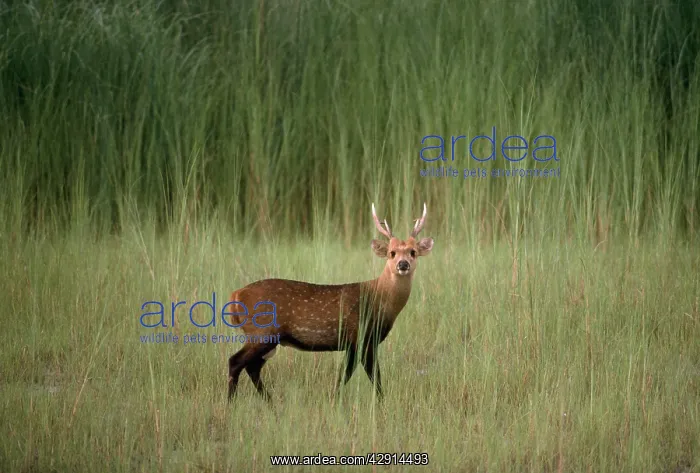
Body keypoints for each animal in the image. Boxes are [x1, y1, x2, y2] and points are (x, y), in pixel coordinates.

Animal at [226, 203, 434, 402]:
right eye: (392, 253)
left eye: (413, 252)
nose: (403, 264)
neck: (379, 298)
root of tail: (236, 295)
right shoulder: (361, 336)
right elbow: (369, 377)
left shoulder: (356, 343)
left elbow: (346, 376)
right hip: (262, 332)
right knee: (235, 362)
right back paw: (232, 403)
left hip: (266, 338)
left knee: (252, 367)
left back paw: (269, 402)